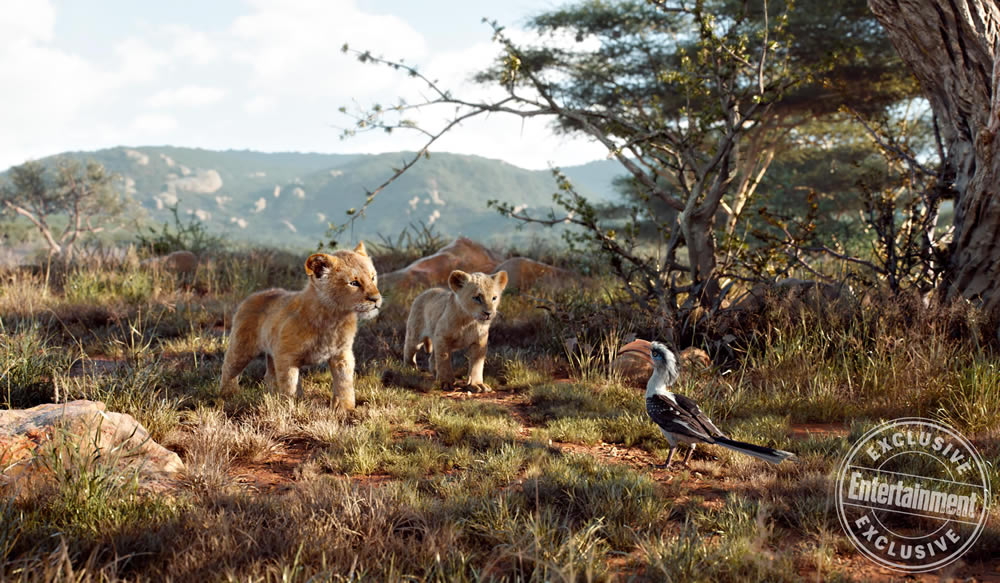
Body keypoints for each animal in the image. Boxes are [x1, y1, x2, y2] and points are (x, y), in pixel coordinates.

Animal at [219, 242, 381, 409]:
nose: (376, 299)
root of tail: (252, 296)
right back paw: (228, 395)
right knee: (229, 368)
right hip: (241, 348)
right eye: (354, 283)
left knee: (269, 376)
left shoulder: (342, 354)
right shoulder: (286, 356)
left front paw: (345, 409)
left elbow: (344, 383)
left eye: (373, 277)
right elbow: (289, 385)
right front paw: (289, 407)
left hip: (271, 351)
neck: (334, 319)